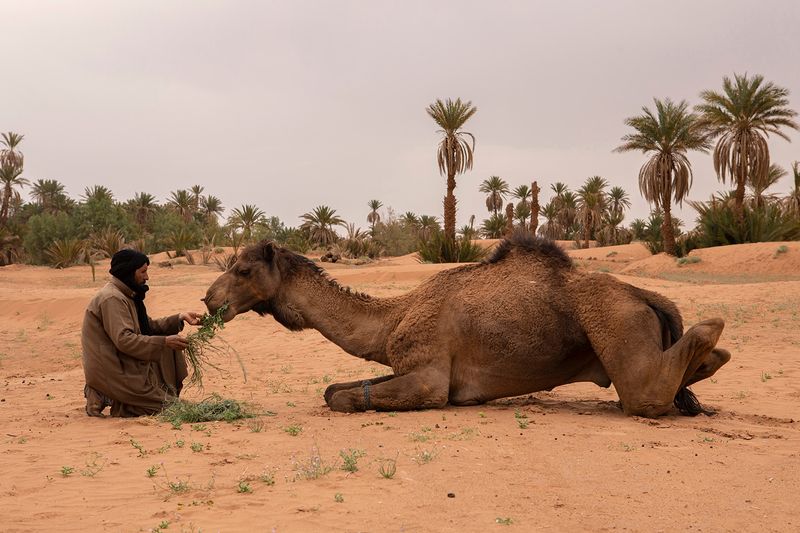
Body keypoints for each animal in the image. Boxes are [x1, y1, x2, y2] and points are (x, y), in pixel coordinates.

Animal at [203, 233, 731, 417]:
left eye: (243, 269)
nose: (209, 300)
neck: (393, 316)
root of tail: (646, 297)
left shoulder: (430, 377)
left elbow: (344, 398)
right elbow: (336, 388)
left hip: (617, 324)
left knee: (649, 391)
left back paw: (713, 330)